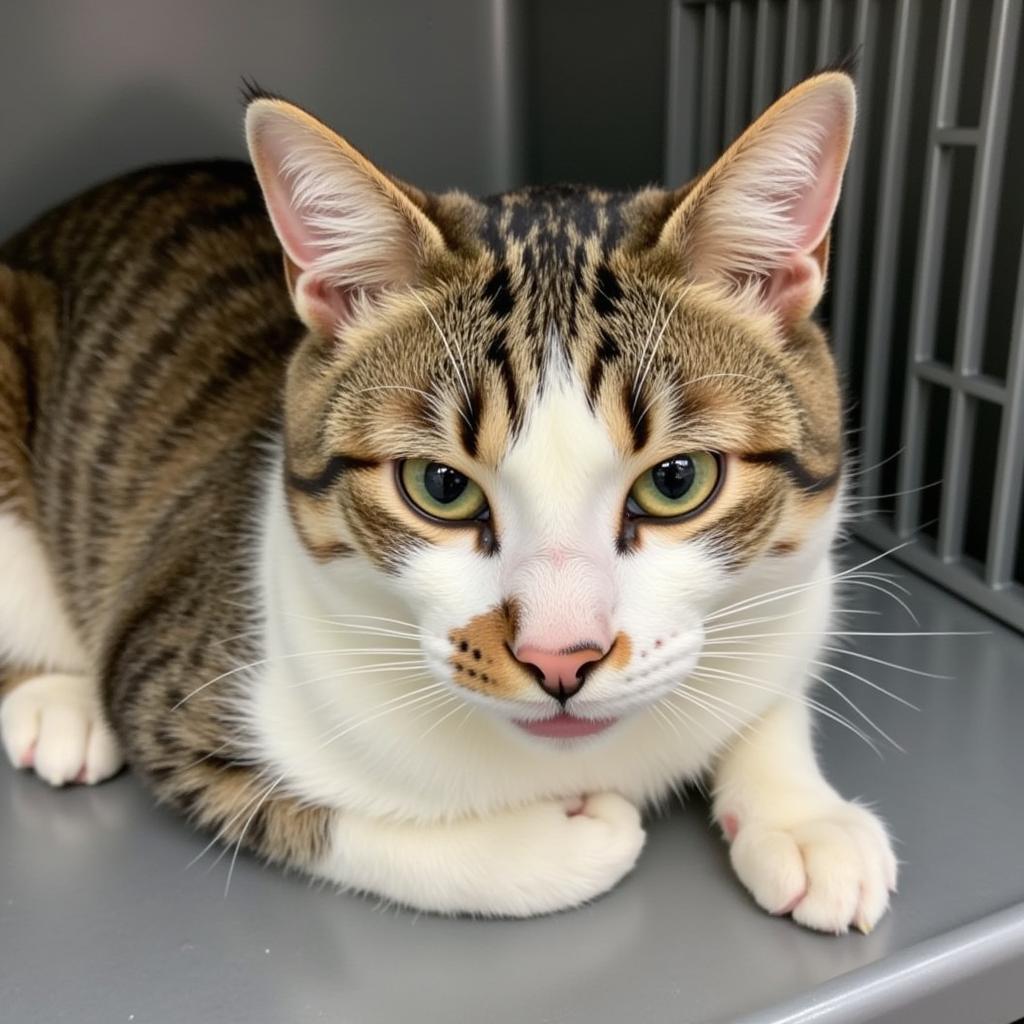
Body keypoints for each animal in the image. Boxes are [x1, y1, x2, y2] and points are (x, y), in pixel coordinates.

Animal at [0, 72, 897, 933]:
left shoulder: (800, 603)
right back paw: (55, 700)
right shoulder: (168, 688)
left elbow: (771, 693)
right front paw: (552, 842)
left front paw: (803, 817)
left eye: (676, 481)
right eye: (441, 487)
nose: (560, 659)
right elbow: (326, 819)